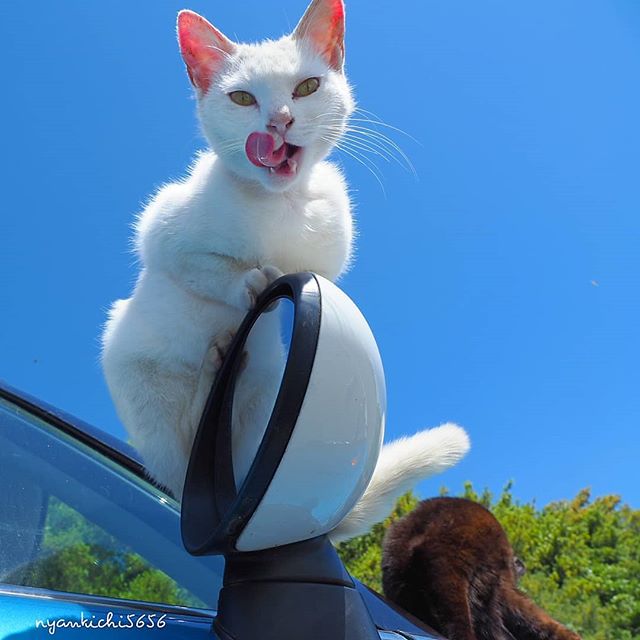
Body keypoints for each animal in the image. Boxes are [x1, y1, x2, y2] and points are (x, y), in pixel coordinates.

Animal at [101, 0, 470, 544]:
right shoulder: (161, 230)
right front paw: (249, 281)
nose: (278, 121)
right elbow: (204, 267)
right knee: (186, 447)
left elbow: (306, 269)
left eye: (307, 87)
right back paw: (211, 374)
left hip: (263, 389)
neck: (279, 206)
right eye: (241, 98)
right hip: (138, 376)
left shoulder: (326, 262)